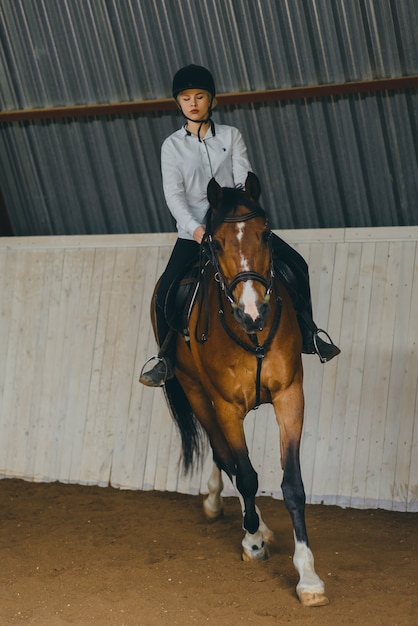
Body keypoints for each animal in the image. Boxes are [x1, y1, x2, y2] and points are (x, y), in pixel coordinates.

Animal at [152, 172, 328, 604]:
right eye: (214, 243)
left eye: (265, 234)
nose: (252, 312)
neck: (251, 335)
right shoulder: (226, 405)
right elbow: (245, 474)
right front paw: (252, 543)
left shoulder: (289, 395)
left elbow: (293, 485)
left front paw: (308, 577)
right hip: (196, 394)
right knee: (224, 455)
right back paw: (242, 519)